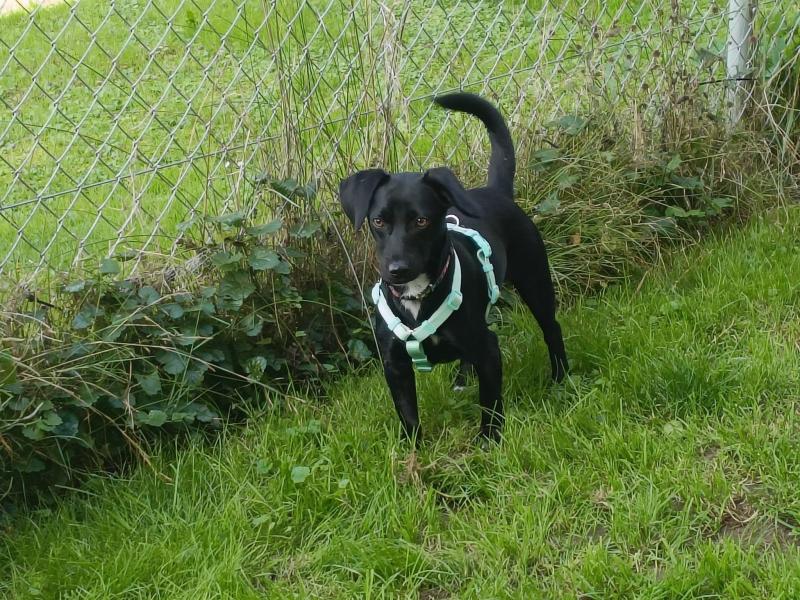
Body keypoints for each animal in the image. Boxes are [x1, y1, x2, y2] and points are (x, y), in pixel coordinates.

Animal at [338, 92, 568, 442]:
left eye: (421, 221)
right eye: (378, 221)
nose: (397, 270)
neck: (417, 297)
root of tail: (494, 191)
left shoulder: (488, 349)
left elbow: (491, 402)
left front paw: (489, 441)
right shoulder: (394, 364)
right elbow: (408, 414)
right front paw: (413, 452)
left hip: (535, 280)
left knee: (551, 328)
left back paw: (561, 378)